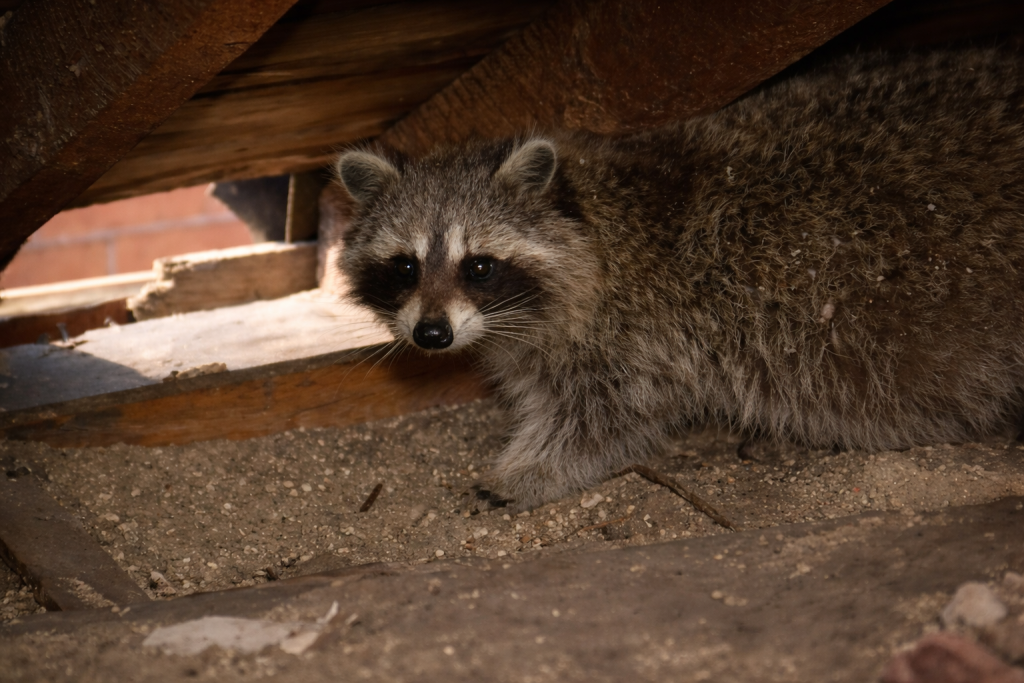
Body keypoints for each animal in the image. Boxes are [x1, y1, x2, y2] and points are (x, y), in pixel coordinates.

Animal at [333, 47, 1024, 511]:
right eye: (405, 267)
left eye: (478, 266)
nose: (431, 335)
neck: (593, 213)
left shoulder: (644, 332)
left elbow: (604, 419)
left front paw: (526, 472)